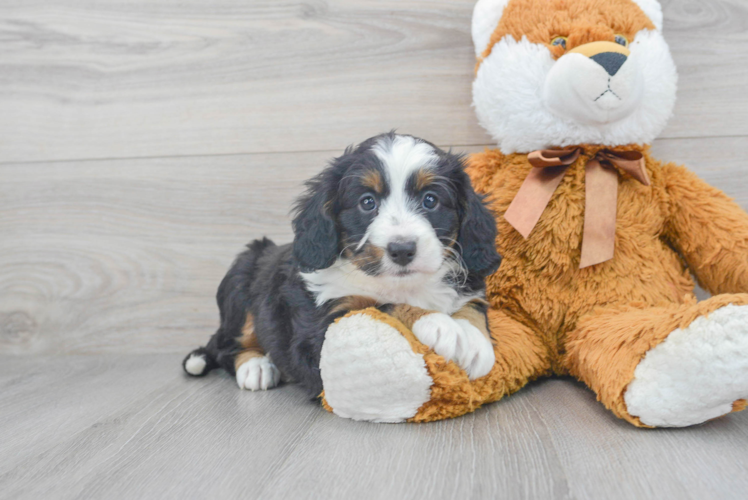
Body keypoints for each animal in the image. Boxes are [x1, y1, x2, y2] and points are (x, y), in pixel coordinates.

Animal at [181, 133, 500, 398]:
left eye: (430, 200)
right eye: (367, 202)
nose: (402, 250)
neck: (401, 283)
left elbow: (472, 308)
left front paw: (475, 342)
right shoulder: (323, 331)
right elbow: (385, 306)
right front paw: (443, 327)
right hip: (242, 274)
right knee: (227, 345)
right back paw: (257, 365)